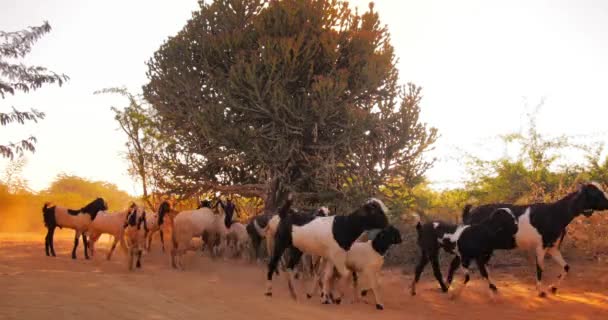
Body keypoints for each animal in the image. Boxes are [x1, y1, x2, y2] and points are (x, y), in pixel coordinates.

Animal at [460, 182, 608, 298]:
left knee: (482, 265)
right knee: (480, 265)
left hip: (488, 248)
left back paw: (493, 287)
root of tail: (470, 214)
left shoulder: (553, 247)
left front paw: (553, 288)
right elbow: (540, 268)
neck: (556, 213)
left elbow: (566, 267)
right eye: (595, 194)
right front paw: (540, 291)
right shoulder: (541, 246)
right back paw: (490, 288)